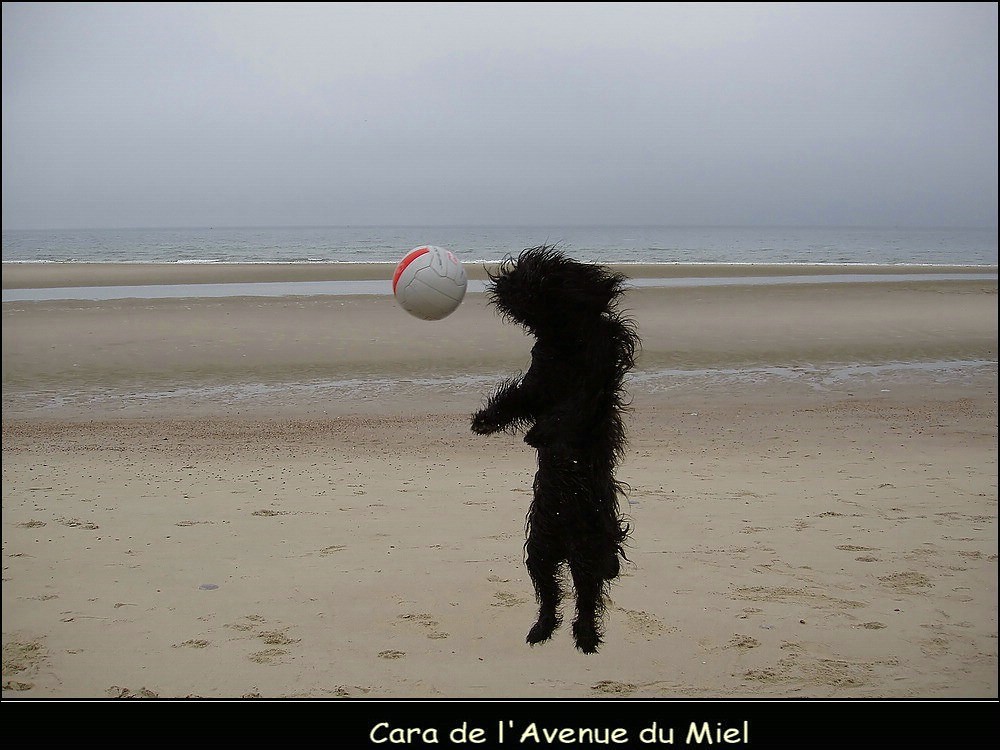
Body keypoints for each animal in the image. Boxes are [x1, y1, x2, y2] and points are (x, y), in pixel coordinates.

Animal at [470, 245, 640, 652]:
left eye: (544, 274)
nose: (507, 277)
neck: (564, 337)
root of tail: (564, 542)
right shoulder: (537, 384)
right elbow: (513, 401)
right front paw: (484, 422)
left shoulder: (594, 382)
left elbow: (569, 409)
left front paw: (539, 433)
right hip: (540, 553)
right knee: (550, 595)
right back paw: (541, 629)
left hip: (585, 554)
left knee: (586, 598)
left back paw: (586, 636)